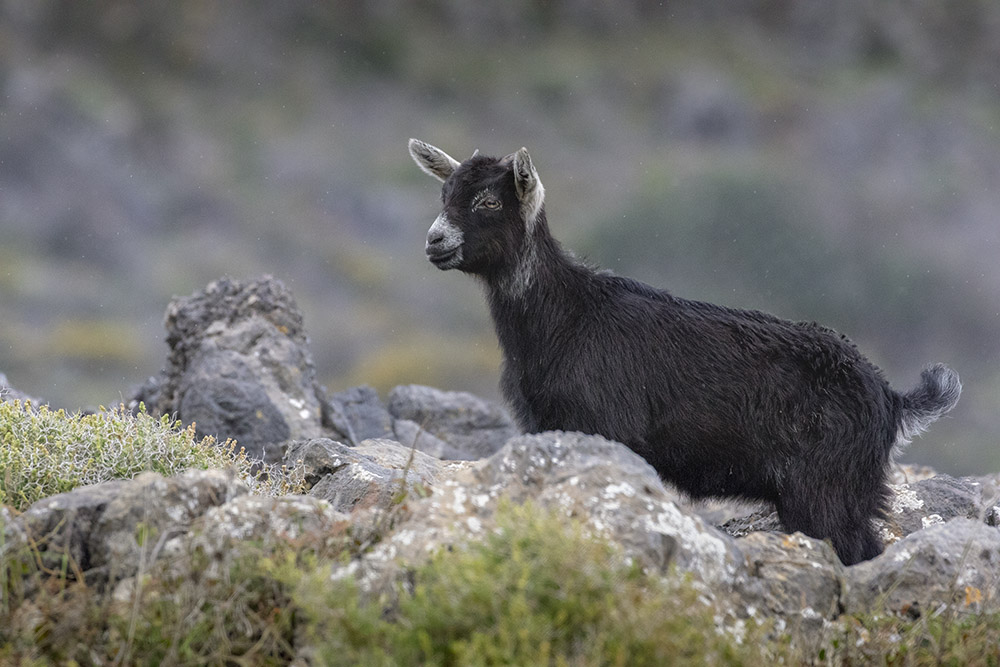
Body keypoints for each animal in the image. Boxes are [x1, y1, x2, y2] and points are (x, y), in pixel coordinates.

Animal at [408, 138, 960, 568]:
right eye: (444, 194)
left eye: (488, 202)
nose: (435, 241)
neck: (566, 317)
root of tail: (891, 399)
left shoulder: (607, 429)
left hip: (829, 489)